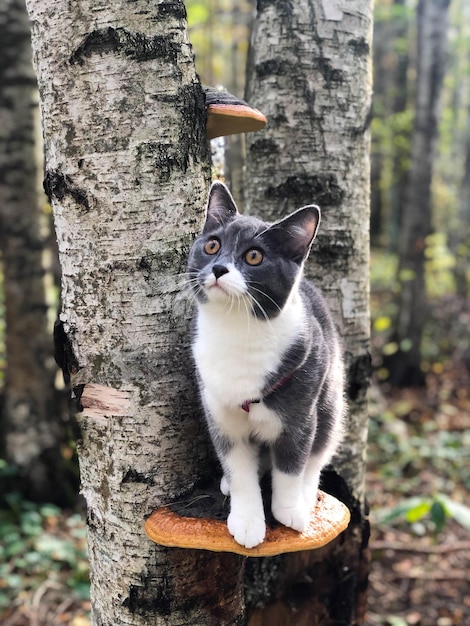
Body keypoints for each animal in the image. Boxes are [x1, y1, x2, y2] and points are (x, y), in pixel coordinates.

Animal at [187, 179, 346, 544]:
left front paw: (288, 510)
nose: (219, 268)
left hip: (331, 395)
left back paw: (305, 497)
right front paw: (247, 520)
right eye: (212, 245)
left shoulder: (300, 412)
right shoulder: (219, 412)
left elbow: (292, 463)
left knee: (319, 451)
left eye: (254, 256)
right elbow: (237, 465)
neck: (237, 329)